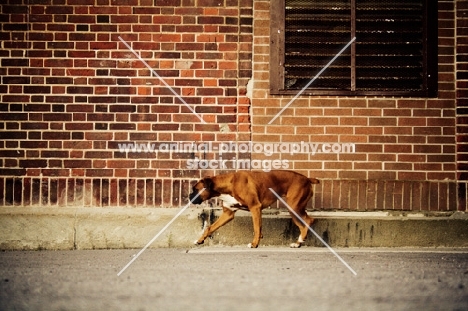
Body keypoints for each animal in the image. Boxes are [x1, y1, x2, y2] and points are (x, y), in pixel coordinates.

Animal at [189, 171, 318, 249]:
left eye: (196, 189)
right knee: (305, 223)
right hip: (294, 208)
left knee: (309, 220)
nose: (189, 196)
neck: (228, 185)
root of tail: (307, 178)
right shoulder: (228, 214)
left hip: (293, 207)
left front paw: (254, 244)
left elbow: (256, 228)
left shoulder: (255, 207)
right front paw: (199, 240)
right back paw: (298, 243)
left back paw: (300, 240)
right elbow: (210, 228)